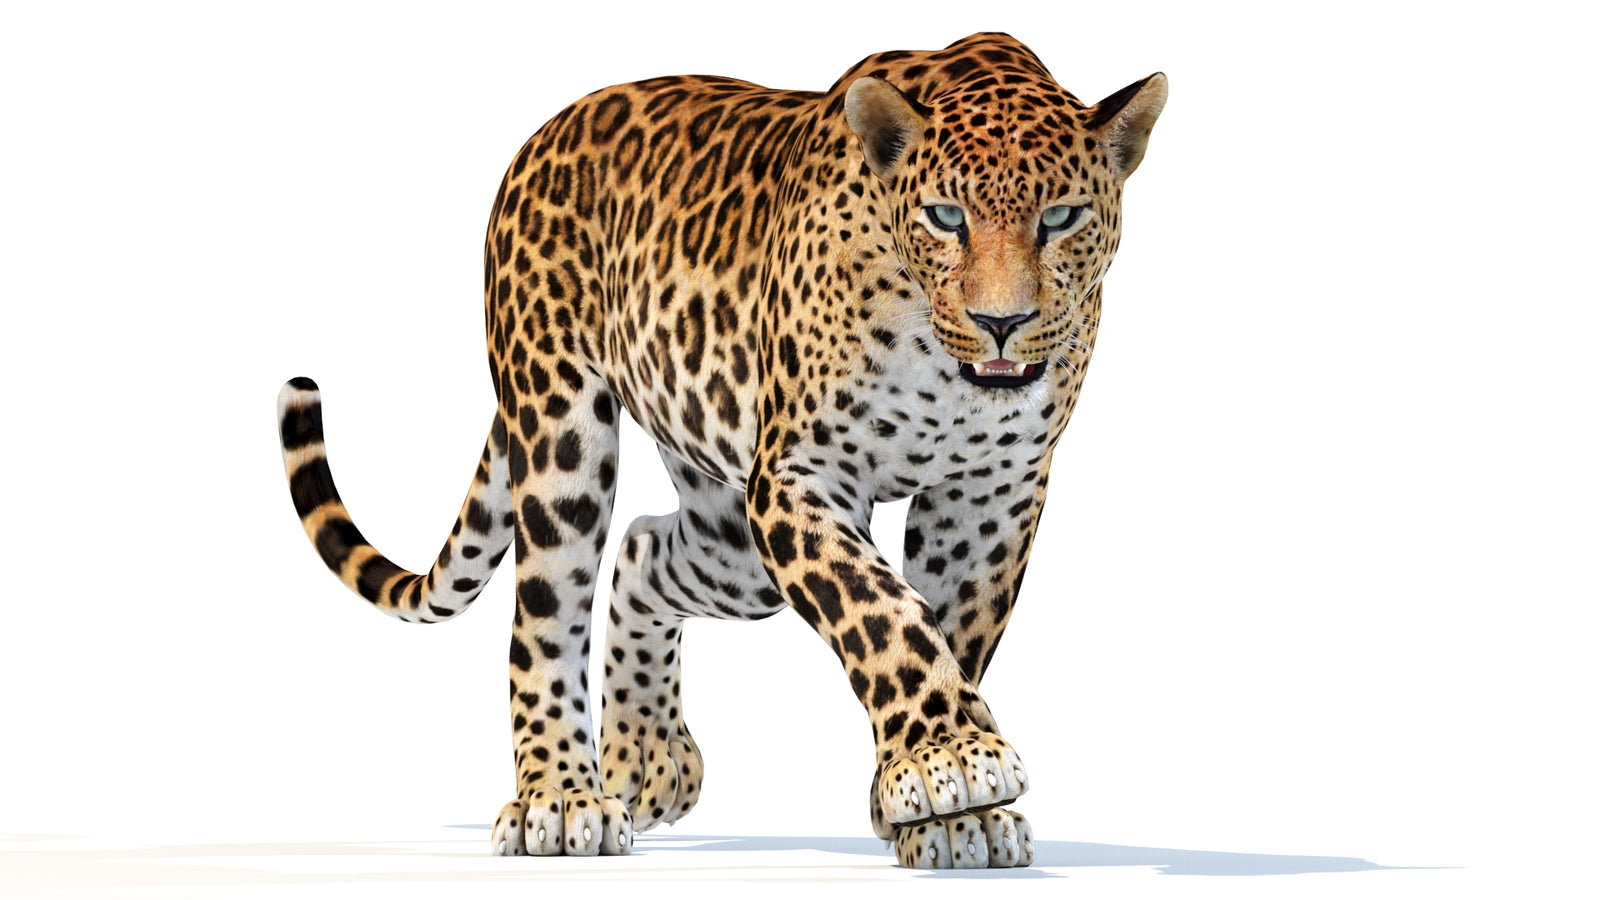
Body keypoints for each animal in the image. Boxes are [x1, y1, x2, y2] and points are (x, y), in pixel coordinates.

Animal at [276, 32, 1165, 869]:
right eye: (947, 218)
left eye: (1061, 219)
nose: (1001, 323)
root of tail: (546, 132)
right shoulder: (802, 474)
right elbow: (885, 614)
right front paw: (949, 760)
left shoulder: (990, 492)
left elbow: (952, 628)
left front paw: (946, 809)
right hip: (561, 426)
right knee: (546, 613)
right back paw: (559, 798)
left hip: (732, 535)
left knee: (641, 549)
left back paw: (643, 754)